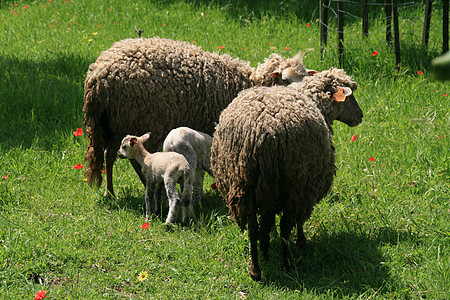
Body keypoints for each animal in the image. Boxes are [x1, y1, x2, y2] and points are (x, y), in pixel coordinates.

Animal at [82, 37, 314, 197]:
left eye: (304, 77)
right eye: (284, 80)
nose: (301, 96)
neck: (245, 83)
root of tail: (98, 75)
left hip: (113, 122)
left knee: (110, 154)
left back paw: (113, 192)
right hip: (134, 118)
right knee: (125, 157)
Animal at [212, 68, 366, 282]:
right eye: (349, 97)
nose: (360, 115)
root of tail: (263, 133)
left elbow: (266, 224)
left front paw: (266, 245)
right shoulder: (308, 188)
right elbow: (299, 221)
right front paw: (301, 242)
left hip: (243, 182)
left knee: (252, 228)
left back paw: (256, 269)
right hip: (294, 182)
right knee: (286, 226)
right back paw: (287, 263)